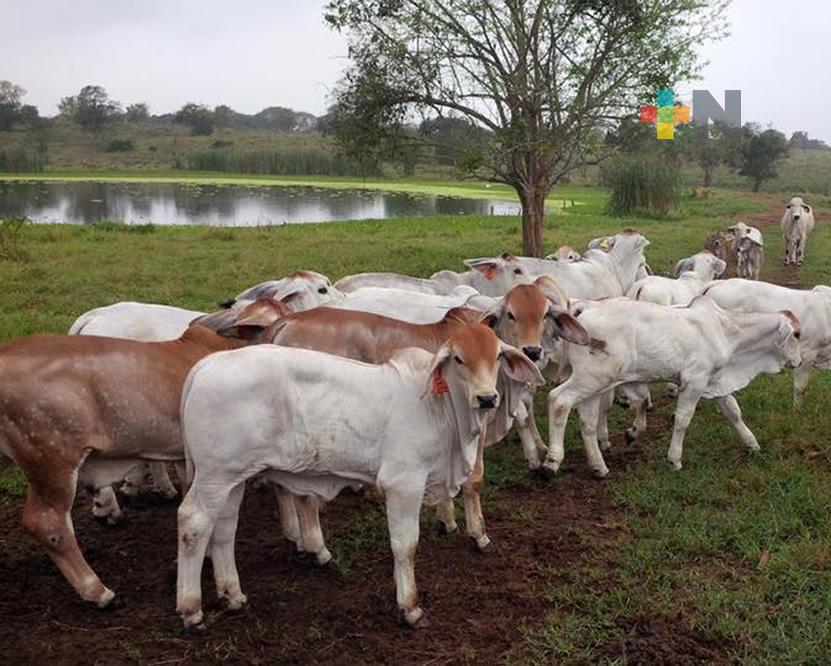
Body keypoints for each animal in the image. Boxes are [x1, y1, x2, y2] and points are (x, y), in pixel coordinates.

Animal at [178, 322, 544, 628]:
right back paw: (191, 609)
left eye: (497, 356)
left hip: (232, 477)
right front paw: (410, 607)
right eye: (458, 358)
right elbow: (405, 545)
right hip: (215, 476)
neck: (440, 409)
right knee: (194, 523)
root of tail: (207, 365)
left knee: (224, 527)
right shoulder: (403, 484)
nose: (487, 398)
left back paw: (232, 595)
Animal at [544, 294, 804, 472]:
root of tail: (586, 306)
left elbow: (733, 412)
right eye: (797, 334)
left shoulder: (714, 381)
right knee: (558, 400)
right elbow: (682, 420)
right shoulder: (695, 381)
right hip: (590, 379)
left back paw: (599, 466)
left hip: (595, 384)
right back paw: (551, 462)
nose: (799, 361)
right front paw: (674, 459)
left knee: (587, 421)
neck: (726, 331)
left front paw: (752, 444)